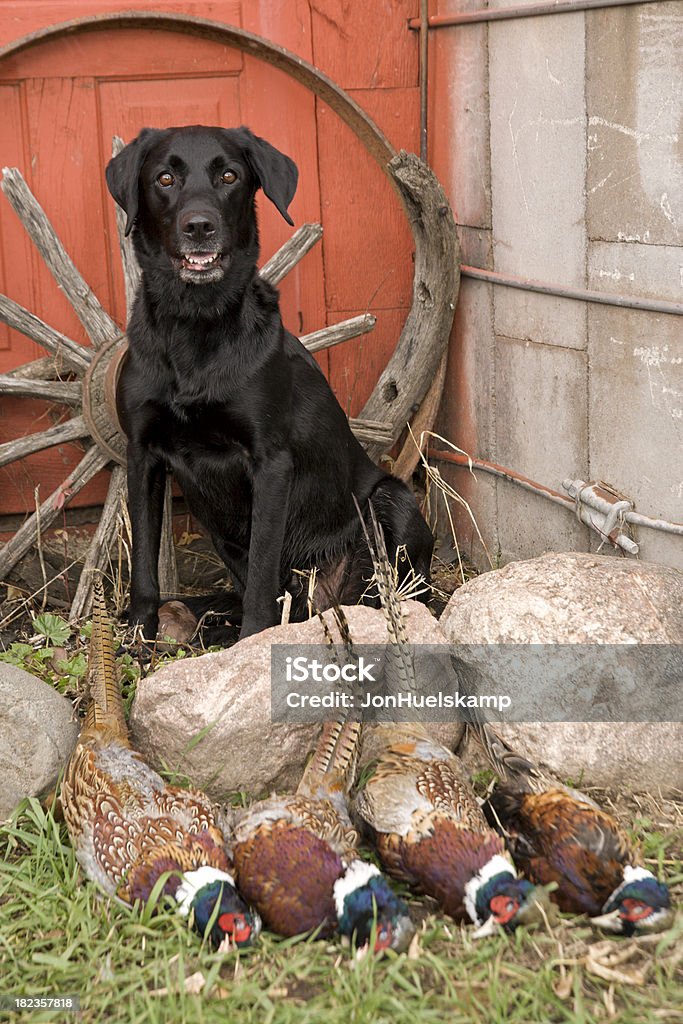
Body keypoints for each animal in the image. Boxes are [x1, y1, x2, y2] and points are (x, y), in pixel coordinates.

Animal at [107, 125, 432, 638]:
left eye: (228, 176)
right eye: (164, 178)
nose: (199, 226)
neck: (195, 324)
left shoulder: (270, 463)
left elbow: (262, 572)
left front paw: (253, 639)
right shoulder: (142, 456)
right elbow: (143, 561)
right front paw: (139, 635)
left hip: (392, 500)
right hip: (220, 532)